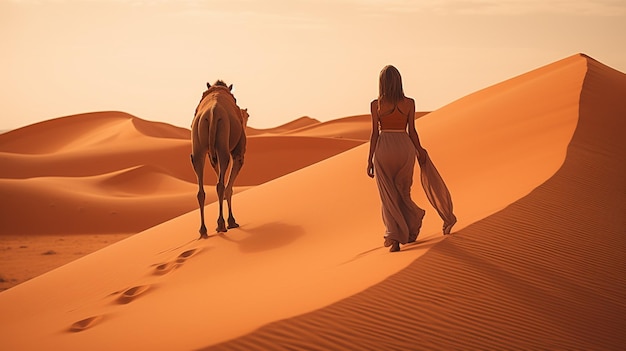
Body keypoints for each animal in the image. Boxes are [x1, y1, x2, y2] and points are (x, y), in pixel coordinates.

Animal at [189, 81, 247, 238]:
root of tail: (212, 113)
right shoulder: (238, 152)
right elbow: (229, 187)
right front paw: (232, 221)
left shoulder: (212, 155)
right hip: (223, 141)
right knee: (220, 186)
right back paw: (221, 225)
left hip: (198, 145)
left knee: (201, 190)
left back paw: (203, 231)